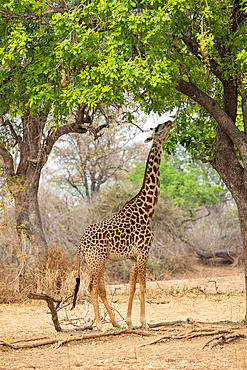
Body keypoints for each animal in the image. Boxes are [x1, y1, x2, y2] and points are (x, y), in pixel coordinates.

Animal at [71, 120, 174, 330]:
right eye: (158, 128)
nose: (170, 122)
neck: (147, 210)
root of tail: (81, 243)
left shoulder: (133, 257)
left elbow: (132, 287)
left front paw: (129, 322)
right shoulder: (144, 252)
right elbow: (143, 286)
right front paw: (144, 323)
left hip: (96, 262)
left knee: (99, 288)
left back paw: (115, 323)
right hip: (97, 260)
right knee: (91, 287)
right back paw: (100, 325)